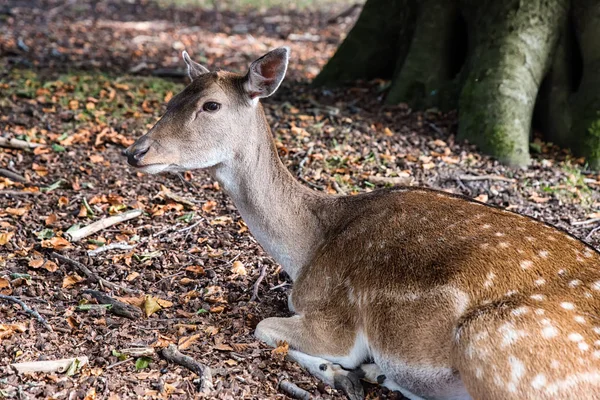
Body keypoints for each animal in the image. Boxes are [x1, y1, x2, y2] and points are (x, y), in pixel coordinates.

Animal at [123, 47, 600, 400]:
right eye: (171, 101)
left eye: (211, 105)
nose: (135, 151)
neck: (307, 250)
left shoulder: (335, 319)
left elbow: (266, 328)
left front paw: (344, 372)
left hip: (496, 347)